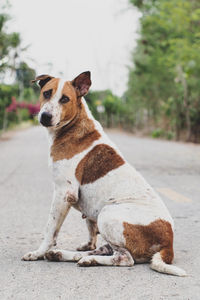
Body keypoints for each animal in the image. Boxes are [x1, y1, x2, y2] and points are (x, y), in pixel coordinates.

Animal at [22, 71, 187, 276]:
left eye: (65, 99)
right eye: (46, 93)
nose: (45, 116)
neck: (73, 126)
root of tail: (169, 243)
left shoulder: (63, 194)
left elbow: (50, 229)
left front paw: (38, 252)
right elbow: (90, 229)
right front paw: (85, 245)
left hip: (108, 214)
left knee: (125, 258)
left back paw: (85, 259)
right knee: (105, 249)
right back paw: (65, 255)